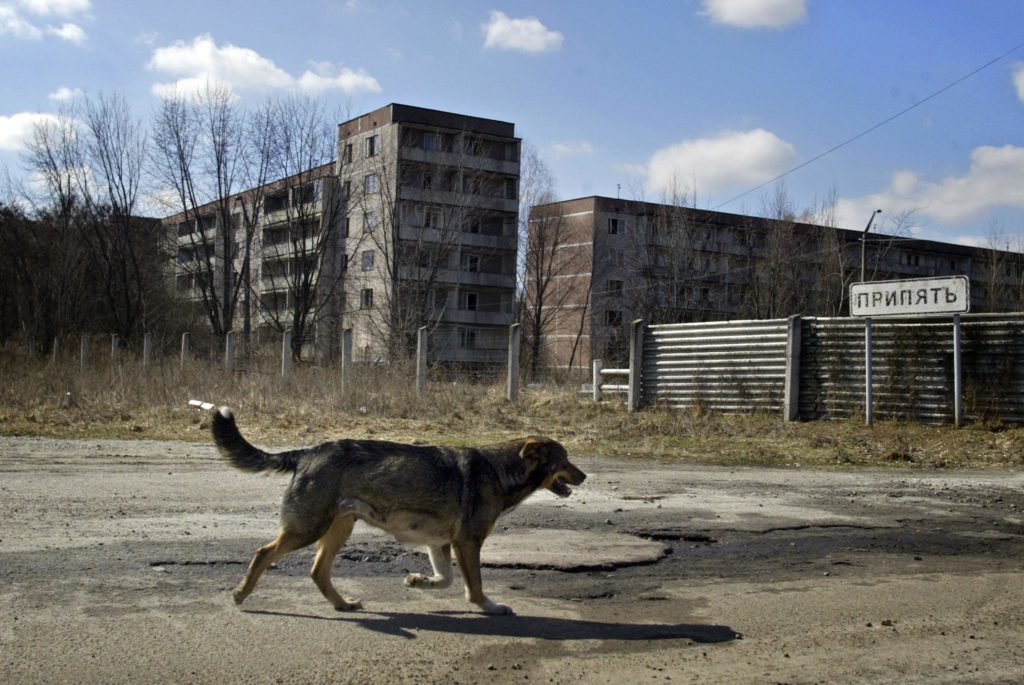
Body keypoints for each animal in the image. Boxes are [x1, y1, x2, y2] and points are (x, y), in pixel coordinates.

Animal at [211, 405, 589, 614]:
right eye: (566, 459)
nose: (585, 476)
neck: (500, 470)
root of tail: (308, 451)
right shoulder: (468, 542)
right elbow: (475, 586)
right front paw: (490, 607)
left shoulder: (440, 543)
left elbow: (446, 579)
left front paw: (419, 581)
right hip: (308, 529)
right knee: (263, 553)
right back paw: (241, 593)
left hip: (338, 529)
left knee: (318, 572)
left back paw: (343, 604)